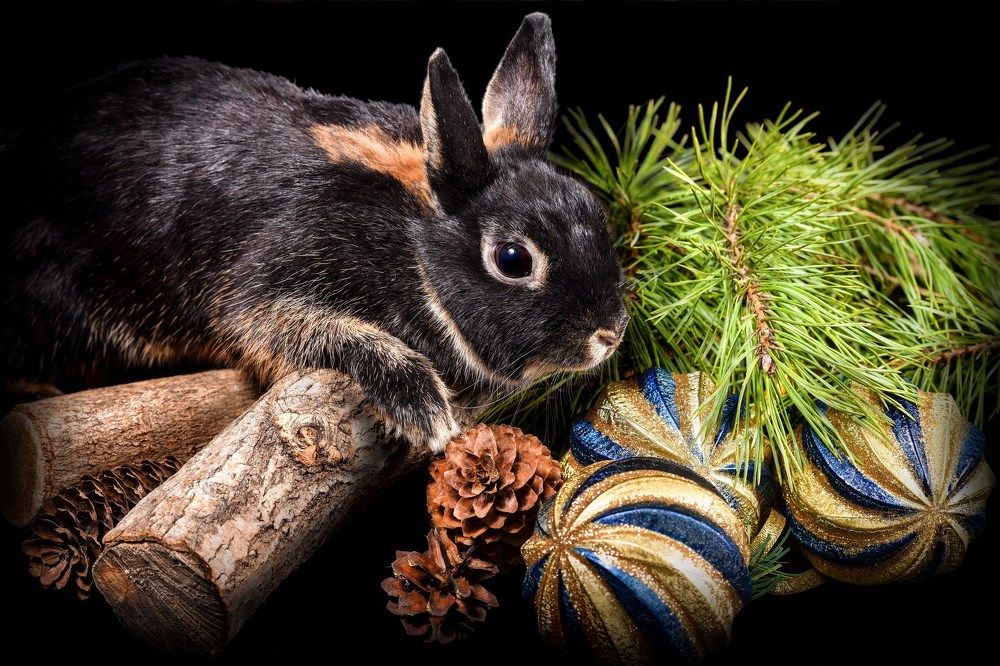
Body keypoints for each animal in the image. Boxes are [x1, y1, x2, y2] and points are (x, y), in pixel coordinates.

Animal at [0, 13, 627, 452]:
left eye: (597, 213)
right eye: (513, 259)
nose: (610, 333)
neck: (411, 236)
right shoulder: (271, 283)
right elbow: (308, 333)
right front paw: (424, 410)